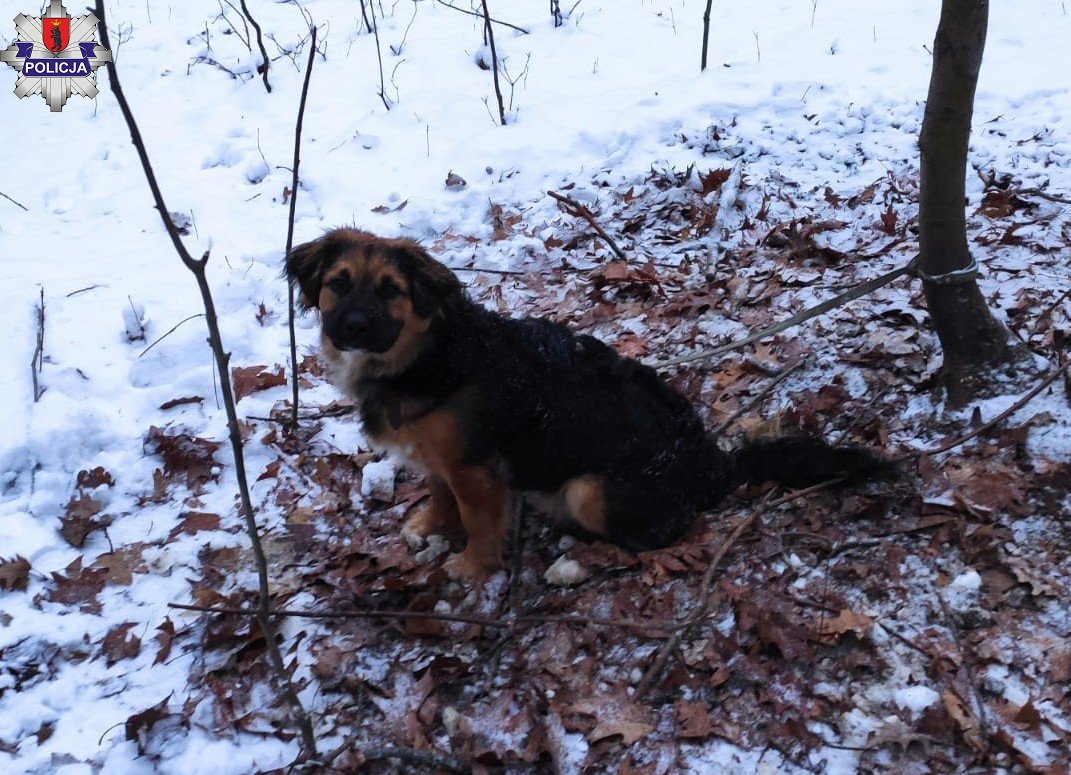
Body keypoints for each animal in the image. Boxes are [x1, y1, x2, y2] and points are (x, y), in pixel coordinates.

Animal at [287, 230, 886, 582]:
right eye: (338, 284)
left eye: (391, 290)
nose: (353, 327)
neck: (427, 353)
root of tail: (711, 462)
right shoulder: (441, 458)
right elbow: (439, 495)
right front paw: (430, 524)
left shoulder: (475, 469)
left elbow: (479, 521)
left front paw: (472, 566)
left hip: (591, 489)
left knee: (651, 537)